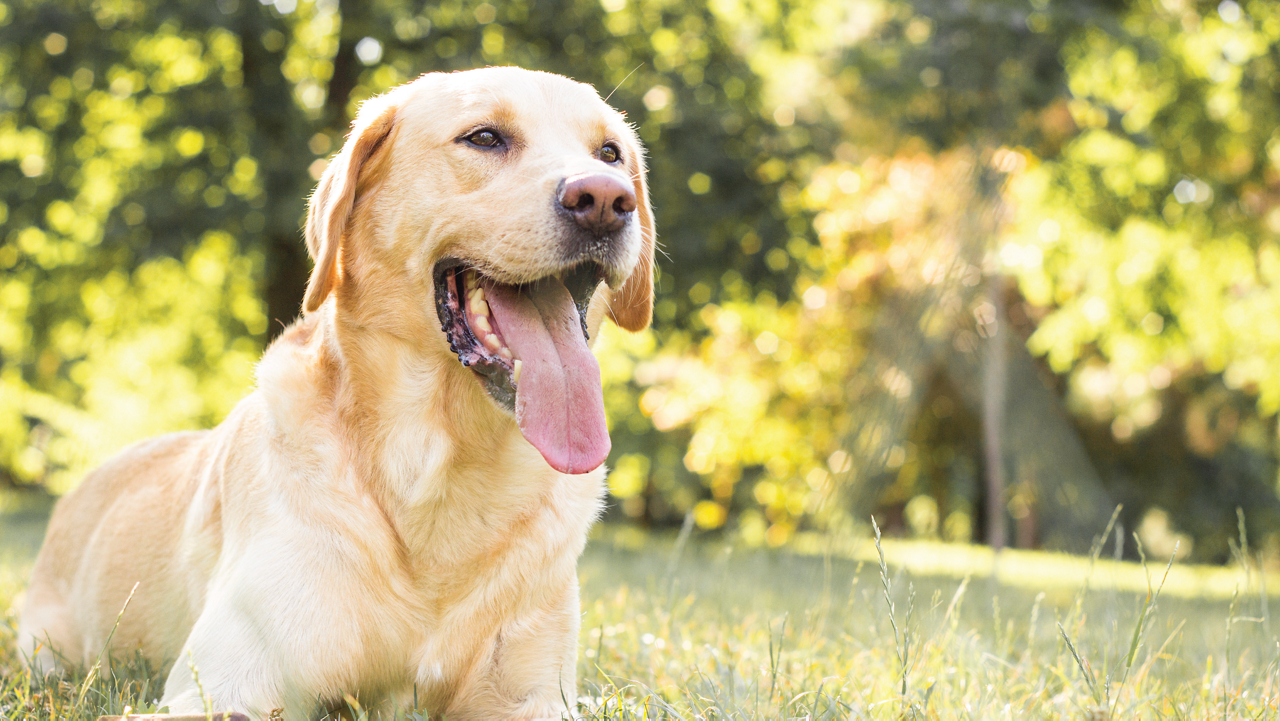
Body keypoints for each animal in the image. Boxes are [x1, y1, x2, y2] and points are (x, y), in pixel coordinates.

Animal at [18, 64, 655, 717]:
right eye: (484, 138)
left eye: (610, 153)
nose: (606, 201)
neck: (441, 465)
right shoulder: (221, 686)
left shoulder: (533, 696)